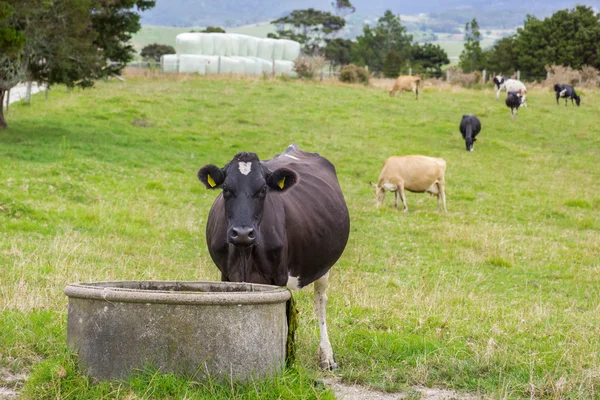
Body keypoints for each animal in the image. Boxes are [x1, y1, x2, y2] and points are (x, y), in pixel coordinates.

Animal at [197, 144, 350, 372]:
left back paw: (326, 357)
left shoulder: (278, 278)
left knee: (320, 301)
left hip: (324, 266)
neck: (245, 254)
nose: (242, 233)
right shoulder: (226, 274)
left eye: (263, 190)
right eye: (225, 189)